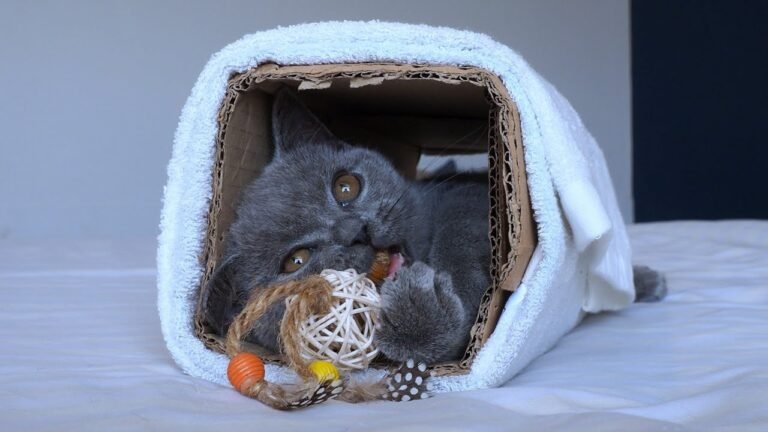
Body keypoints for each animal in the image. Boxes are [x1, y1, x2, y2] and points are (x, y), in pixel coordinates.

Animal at [206, 90, 664, 364]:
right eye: (295, 261)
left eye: (345, 187)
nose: (355, 230)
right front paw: (418, 315)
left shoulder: (463, 194)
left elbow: (456, 231)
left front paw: (439, 293)